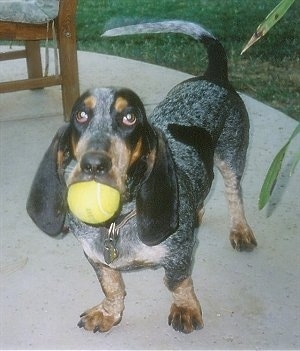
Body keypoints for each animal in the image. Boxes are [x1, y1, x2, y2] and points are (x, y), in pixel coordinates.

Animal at [26, 20, 255, 334]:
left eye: (130, 118)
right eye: (81, 115)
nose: (94, 165)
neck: (118, 222)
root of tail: (212, 77)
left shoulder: (179, 256)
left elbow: (177, 282)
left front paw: (185, 309)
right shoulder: (95, 258)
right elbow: (111, 285)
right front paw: (108, 313)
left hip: (232, 156)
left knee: (234, 194)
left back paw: (240, 230)